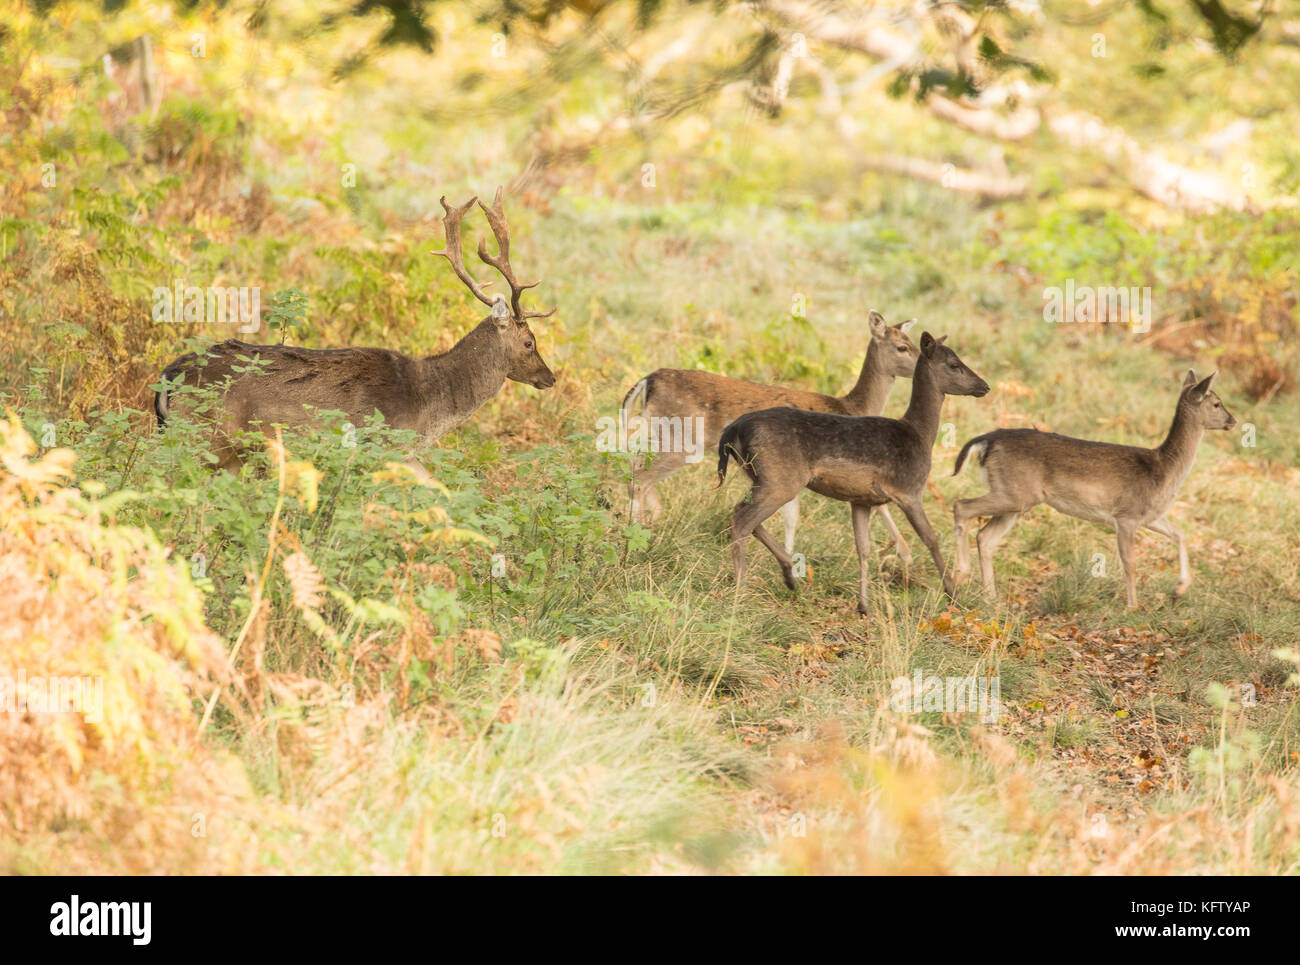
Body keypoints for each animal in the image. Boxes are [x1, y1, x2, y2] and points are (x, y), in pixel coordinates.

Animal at [156, 187, 553, 470]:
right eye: (530, 342)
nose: (550, 377)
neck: (428, 406)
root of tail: (168, 375)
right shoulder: (384, 447)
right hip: (204, 438)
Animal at [624, 312, 920, 559]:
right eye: (902, 347)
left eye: (915, 344)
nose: (923, 365)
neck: (849, 407)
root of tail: (648, 381)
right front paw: (905, 556)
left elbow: (792, 516)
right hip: (683, 438)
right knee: (640, 479)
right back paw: (635, 540)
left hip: (661, 433)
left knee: (635, 468)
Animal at [722, 332, 982, 616]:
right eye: (954, 364)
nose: (984, 385)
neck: (920, 436)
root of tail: (734, 429)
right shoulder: (909, 490)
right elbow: (931, 538)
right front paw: (953, 594)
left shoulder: (861, 500)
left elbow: (863, 548)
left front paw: (864, 606)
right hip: (780, 480)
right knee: (742, 520)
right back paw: (741, 588)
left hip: (759, 476)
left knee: (744, 514)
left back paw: (789, 576)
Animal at [951, 371, 1232, 608]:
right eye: (1217, 403)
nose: (1233, 420)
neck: (1164, 469)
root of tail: (986, 440)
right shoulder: (1126, 515)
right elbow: (1130, 562)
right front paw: (1133, 607)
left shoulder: (1149, 516)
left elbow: (1179, 533)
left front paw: (1180, 589)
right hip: (1014, 492)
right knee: (961, 506)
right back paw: (961, 575)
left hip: (1016, 499)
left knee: (985, 537)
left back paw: (990, 597)